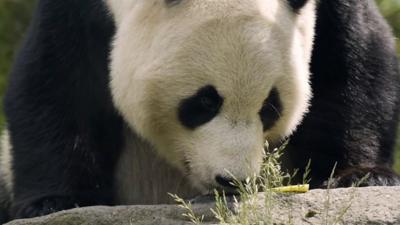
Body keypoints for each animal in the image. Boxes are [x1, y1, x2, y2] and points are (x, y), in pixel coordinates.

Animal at [0, 0, 398, 222]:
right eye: (204, 102)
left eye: (270, 107)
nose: (232, 181)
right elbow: (56, 77)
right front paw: (54, 202)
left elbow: (354, 58)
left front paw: (360, 176)